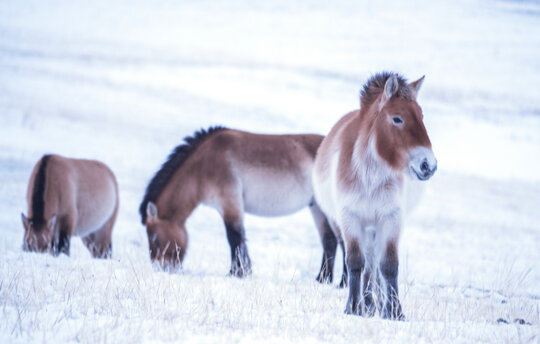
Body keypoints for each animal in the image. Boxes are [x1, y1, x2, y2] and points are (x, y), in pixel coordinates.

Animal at [139, 125, 346, 280]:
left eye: (154, 238)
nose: (161, 268)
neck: (203, 165)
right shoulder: (227, 207)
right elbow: (239, 240)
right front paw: (243, 271)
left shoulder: (230, 203)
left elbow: (234, 238)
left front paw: (236, 273)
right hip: (317, 208)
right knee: (329, 241)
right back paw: (323, 279)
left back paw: (341, 283)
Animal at [314, 72, 436, 320]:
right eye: (397, 119)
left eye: (421, 116)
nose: (428, 164)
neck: (369, 174)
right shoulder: (350, 217)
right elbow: (355, 262)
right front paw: (353, 307)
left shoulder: (391, 218)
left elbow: (388, 265)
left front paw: (395, 312)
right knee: (368, 264)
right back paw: (369, 304)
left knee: (375, 266)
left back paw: (376, 304)